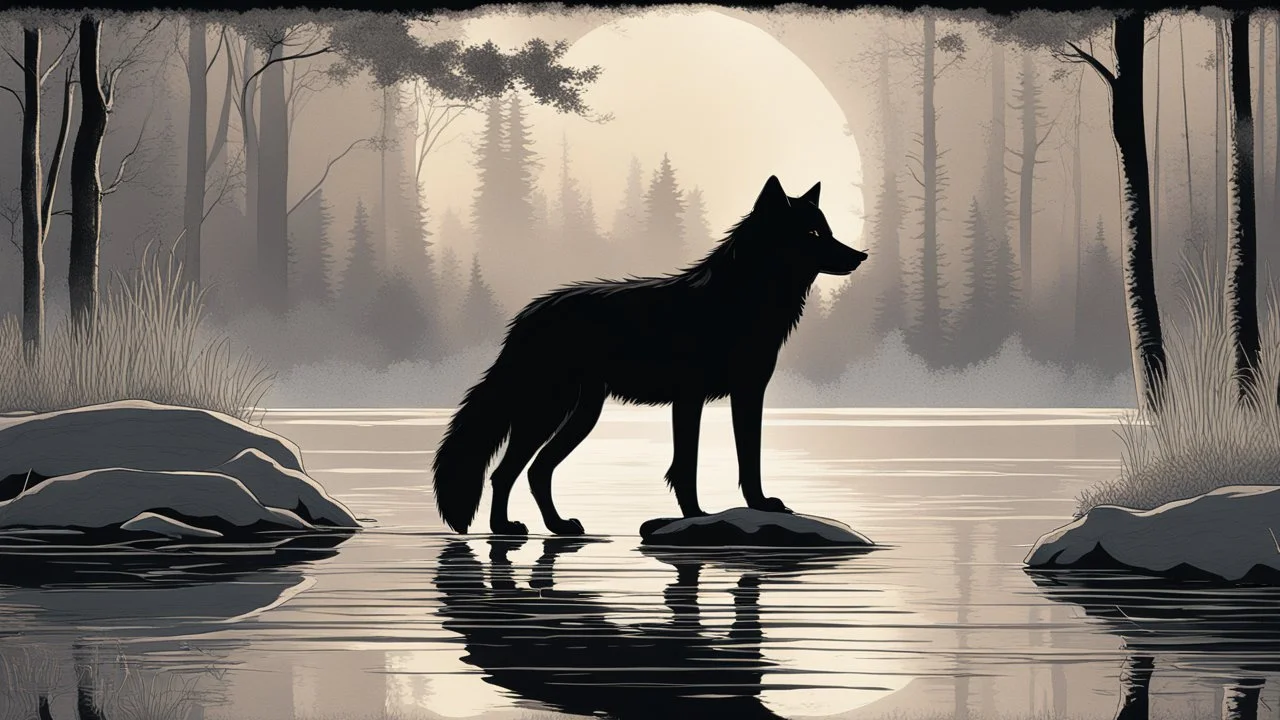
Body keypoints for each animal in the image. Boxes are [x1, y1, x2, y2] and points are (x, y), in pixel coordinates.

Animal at [431, 175, 867, 535]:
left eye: (828, 230)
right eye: (812, 232)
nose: (861, 255)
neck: (740, 302)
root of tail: (524, 317)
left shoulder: (748, 394)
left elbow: (750, 459)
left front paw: (760, 505)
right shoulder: (690, 399)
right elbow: (686, 466)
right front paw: (696, 515)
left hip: (580, 414)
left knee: (536, 471)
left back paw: (557, 526)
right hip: (547, 412)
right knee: (505, 472)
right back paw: (504, 528)